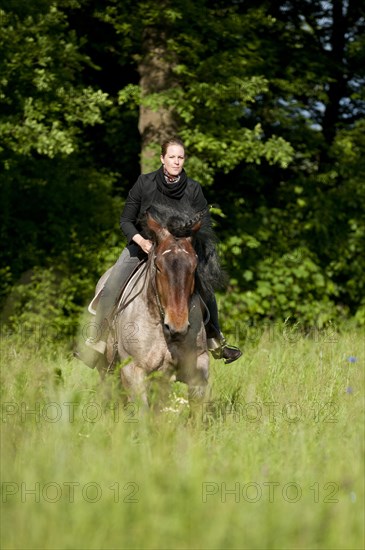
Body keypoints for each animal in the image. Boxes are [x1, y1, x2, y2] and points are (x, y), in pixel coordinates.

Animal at [95, 209, 210, 416]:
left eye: (194, 266)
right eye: (158, 266)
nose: (177, 327)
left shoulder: (198, 367)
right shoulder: (133, 371)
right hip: (106, 369)